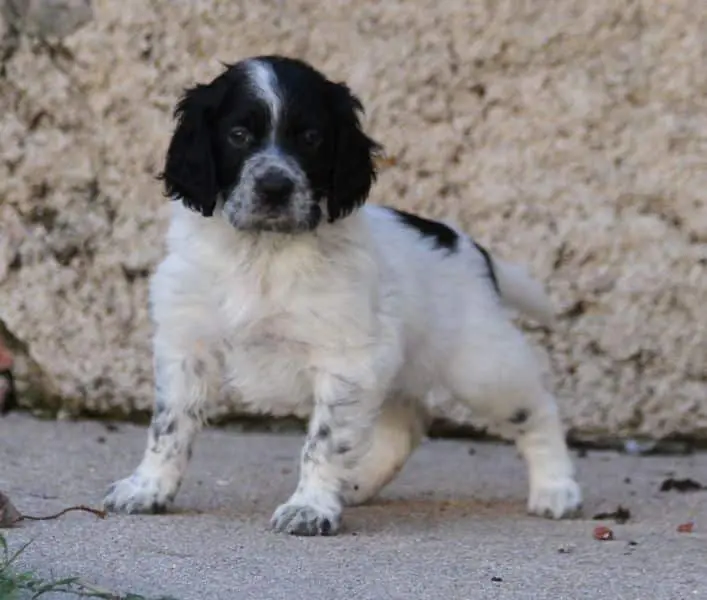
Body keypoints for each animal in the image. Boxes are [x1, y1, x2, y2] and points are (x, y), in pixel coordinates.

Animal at [103, 55, 581, 535]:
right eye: (238, 135)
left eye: (311, 138)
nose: (274, 188)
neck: (263, 253)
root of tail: (469, 246)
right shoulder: (188, 344)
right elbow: (169, 427)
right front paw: (147, 489)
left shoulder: (347, 359)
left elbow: (323, 442)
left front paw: (310, 506)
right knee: (408, 422)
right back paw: (357, 485)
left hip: (482, 367)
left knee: (539, 410)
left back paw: (556, 489)